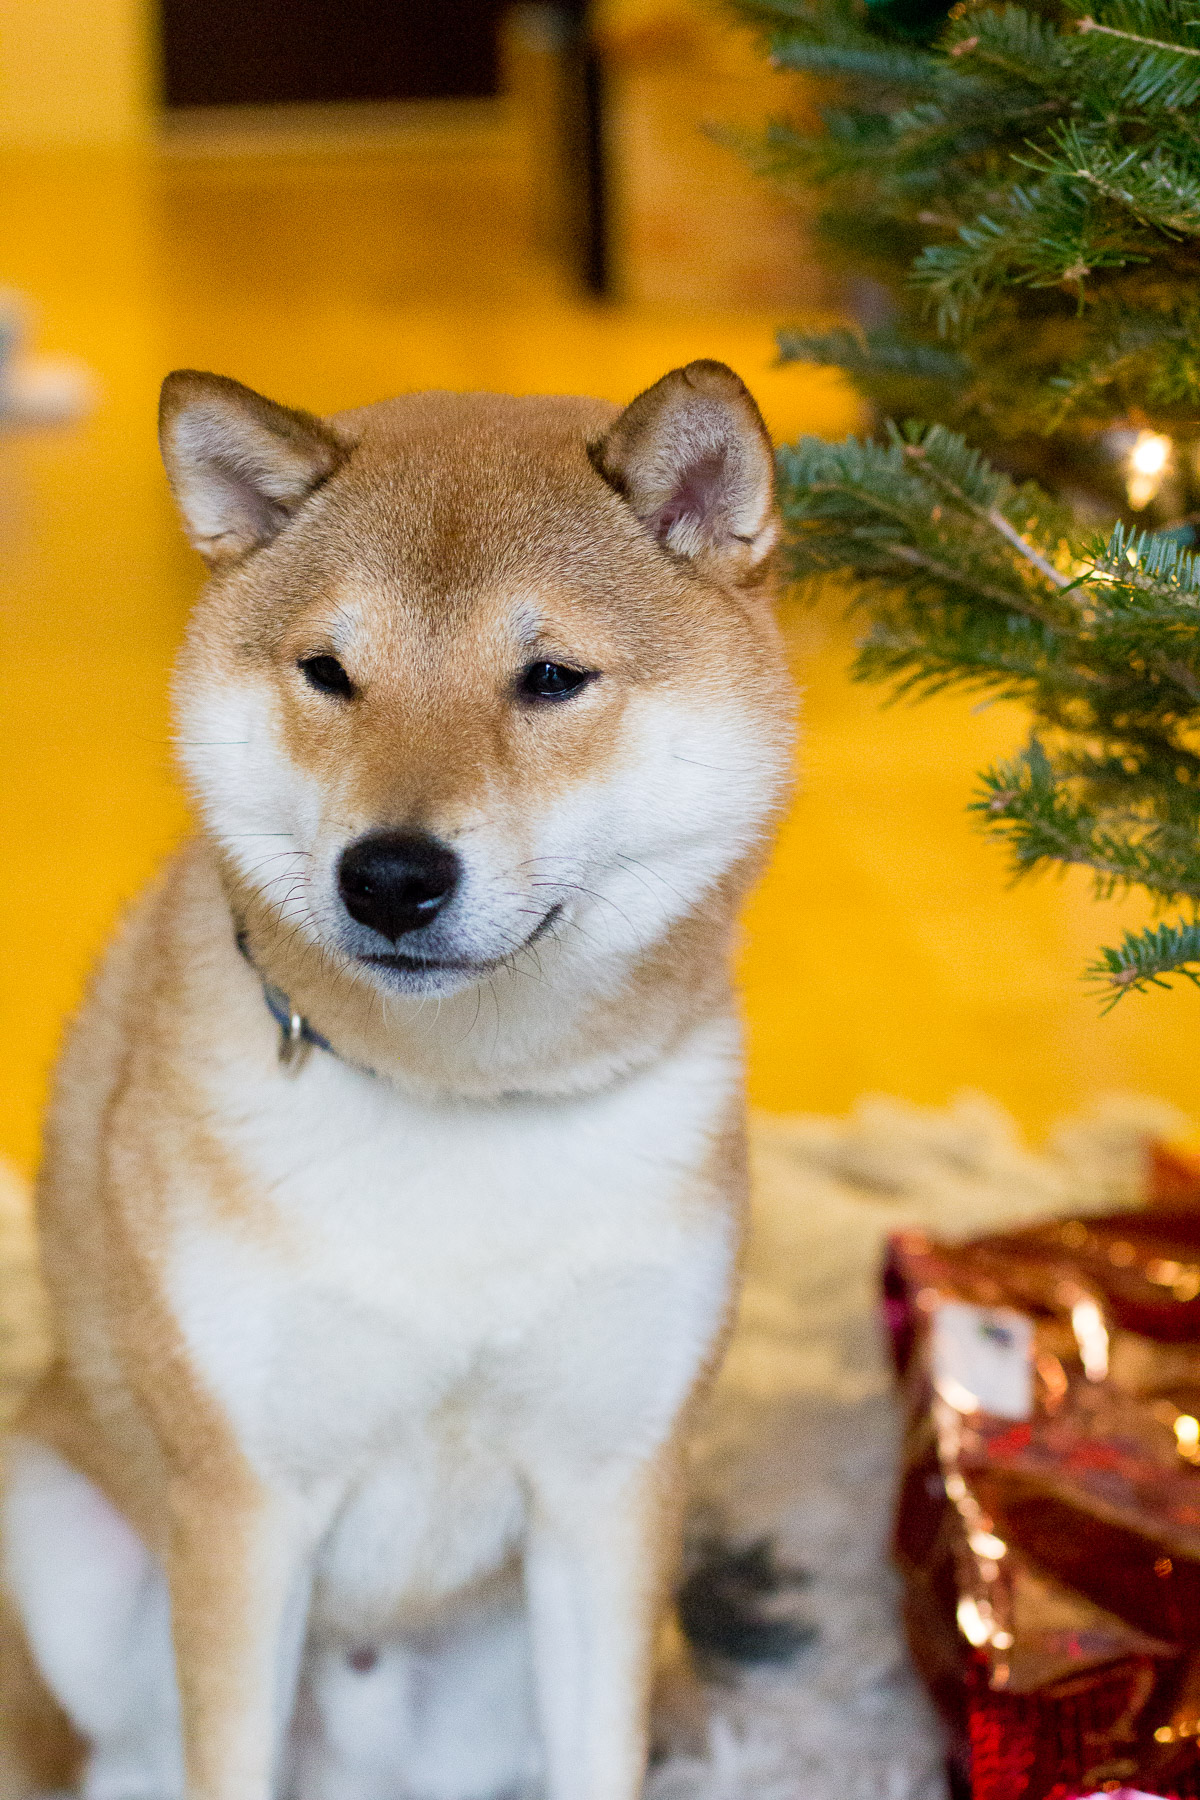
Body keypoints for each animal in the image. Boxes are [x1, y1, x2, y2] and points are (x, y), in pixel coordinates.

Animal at [0, 360, 795, 1800]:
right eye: (329, 672)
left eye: (551, 679)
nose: (389, 876)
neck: (462, 1101)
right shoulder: (244, 1513)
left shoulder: (607, 1497)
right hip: (57, 1536)